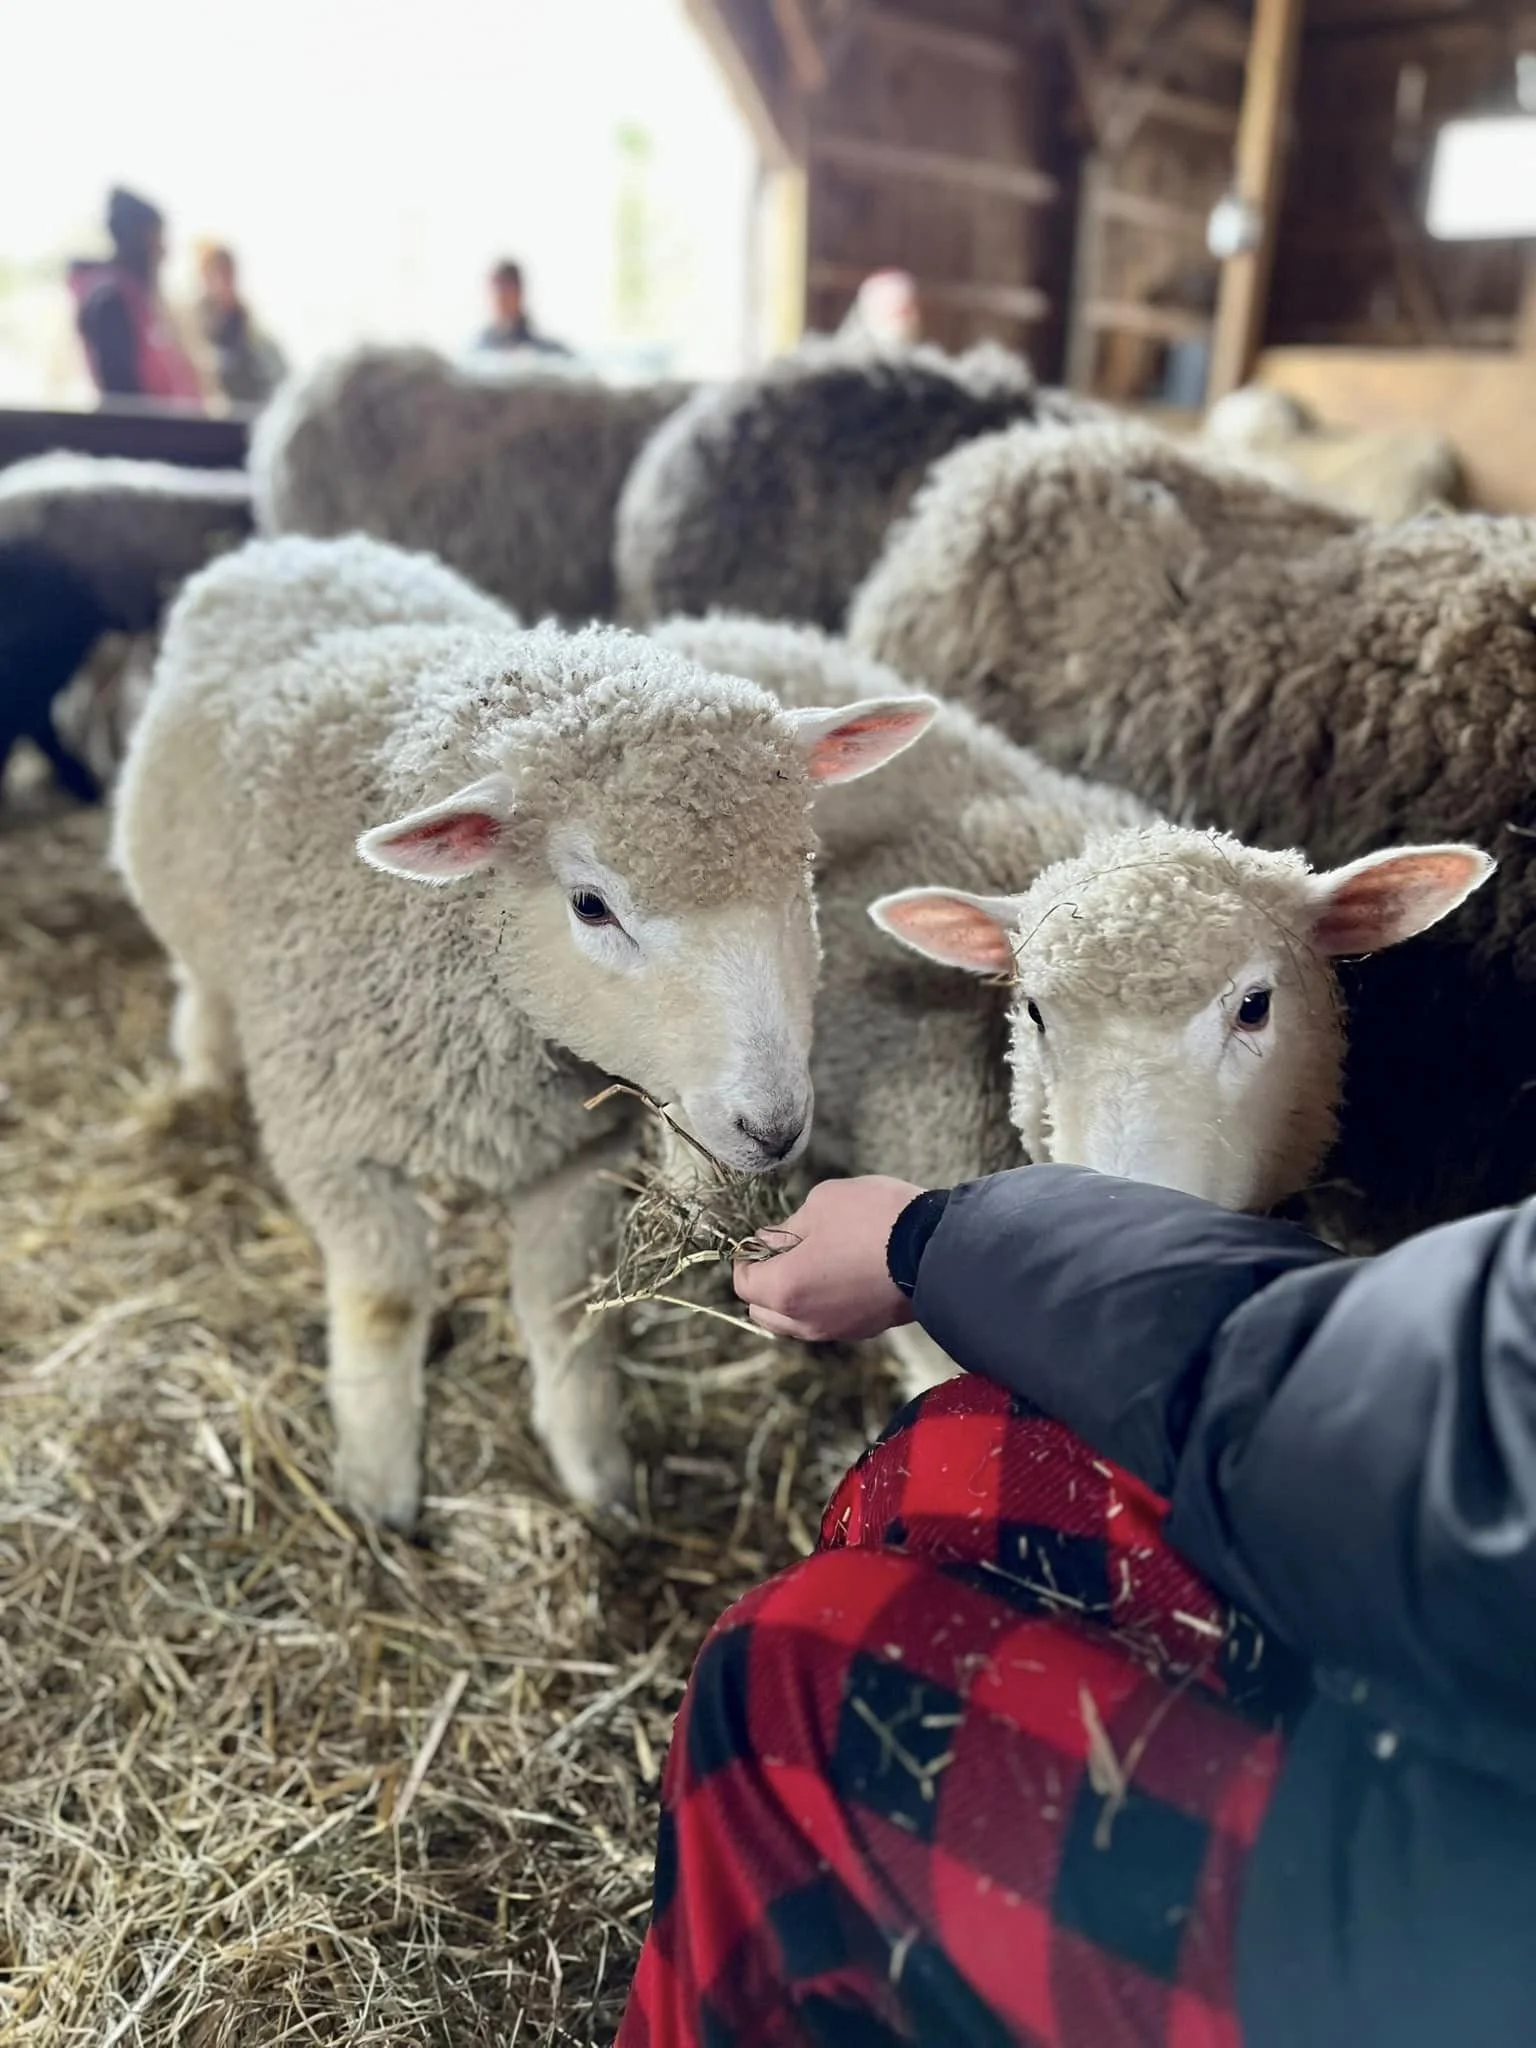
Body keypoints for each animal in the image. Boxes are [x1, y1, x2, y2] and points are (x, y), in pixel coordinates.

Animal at [112, 534, 935, 1528]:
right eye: (590, 904)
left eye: (803, 864)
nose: (773, 1128)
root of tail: (306, 548)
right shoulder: (335, 1146)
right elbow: (385, 1304)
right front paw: (377, 1486)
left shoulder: (573, 1153)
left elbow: (561, 1306)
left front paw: (593, 1472)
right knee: (200, 986)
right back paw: (201, 1071)